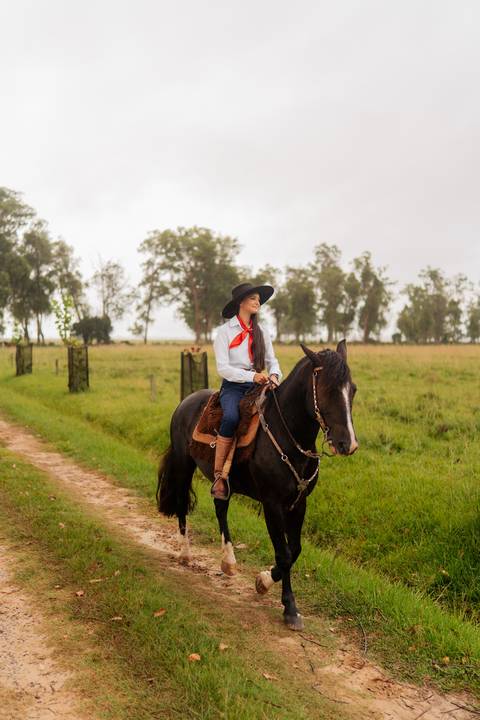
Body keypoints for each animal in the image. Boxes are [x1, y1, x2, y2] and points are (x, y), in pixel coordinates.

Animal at [157, 340, 358, 630]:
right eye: (328, 390)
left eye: (352, 389)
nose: (348, 444)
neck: (289, 436)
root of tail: (186, 401)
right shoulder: (272, 504)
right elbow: (284, 554)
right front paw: (288, 607)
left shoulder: (299, 503)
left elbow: (294, 550)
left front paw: (264, 581)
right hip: (184, 466)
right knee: (183, 504)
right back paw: (185, 554)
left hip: (223, 482)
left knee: (220, 508)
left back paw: (228, 562)